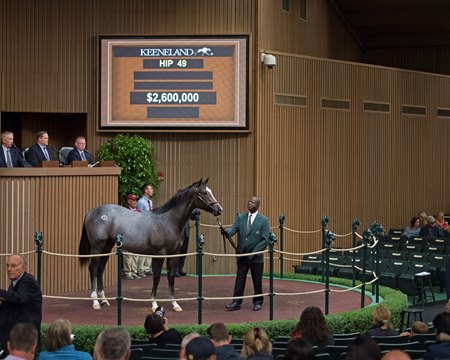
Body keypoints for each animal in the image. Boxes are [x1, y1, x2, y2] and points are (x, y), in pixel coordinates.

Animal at [80, 179, 223, 310]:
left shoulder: (173, 254)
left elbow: (171, 276)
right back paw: (95, 302)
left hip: (107, 246)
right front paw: (154, 303)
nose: (219, 209)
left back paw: (104, 300)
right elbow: (157, 276)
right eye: (204, 193)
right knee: (93, 269)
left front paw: (175, 303)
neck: (168, 220)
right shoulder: (159, 254)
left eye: (210, 191)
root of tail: (91, 212)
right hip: (97, 247)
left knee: (100, 269)